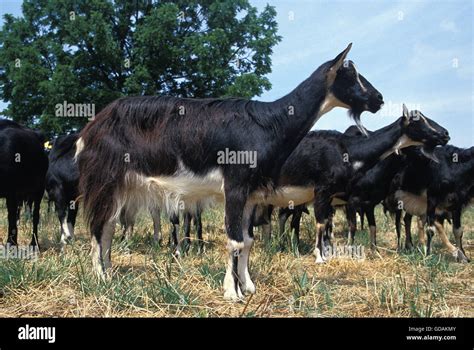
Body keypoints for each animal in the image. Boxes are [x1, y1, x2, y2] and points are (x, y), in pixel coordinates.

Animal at [75, 43, 386, 300]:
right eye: (351, 76)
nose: (379, 99)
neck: (269, 123)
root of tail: (91, 129)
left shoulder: (250, 194)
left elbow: (247, 241)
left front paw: (248, 286)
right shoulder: (235, 186)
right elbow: (235, 241)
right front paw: (232, 292)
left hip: (120, 187)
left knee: (108, 226)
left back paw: (109, 271)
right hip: (104, 181)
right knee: (98, 226)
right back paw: (101, 277)